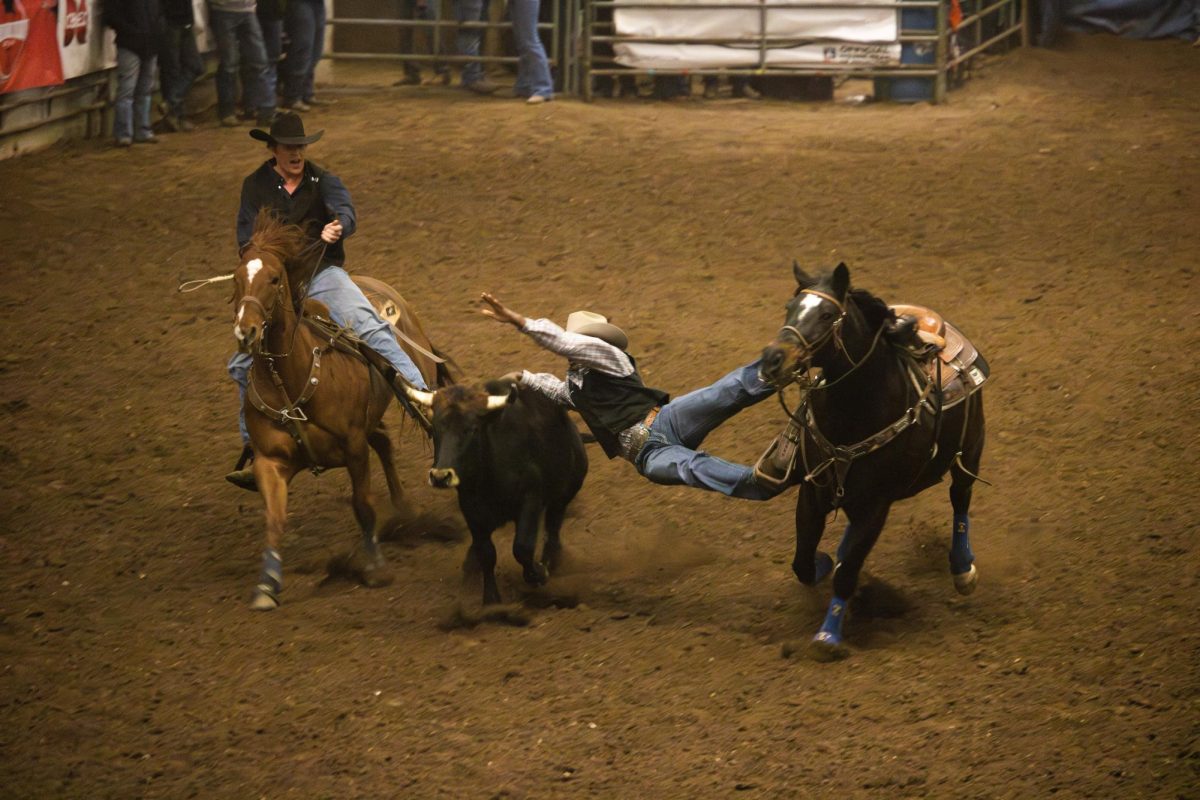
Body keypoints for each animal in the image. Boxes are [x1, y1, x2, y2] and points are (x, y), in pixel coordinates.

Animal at [229, 215, 451, 609]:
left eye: (274, 278)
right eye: (238, 278)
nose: (246, 332)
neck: (293, 378)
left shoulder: (353, 447)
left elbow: (362, 505)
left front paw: (375, 567)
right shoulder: (270, 461)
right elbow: (274, 519)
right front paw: (267, 584)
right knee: (385, 443)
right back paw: (403, 509)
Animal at [758, 261, 984, 657]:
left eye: (827, 314)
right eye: (789, 307)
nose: (772, 360)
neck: (856, 409)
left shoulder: (878, 504)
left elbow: (847, 574)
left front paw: (828, 637)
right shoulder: (814, 490)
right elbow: (804, 562)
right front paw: (824, 563)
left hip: (970, 452)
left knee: (960, 499)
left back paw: (962, 570)